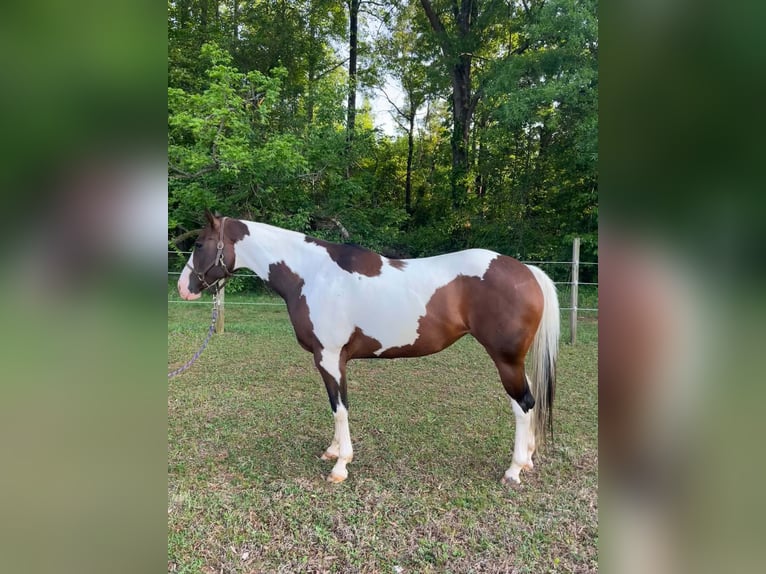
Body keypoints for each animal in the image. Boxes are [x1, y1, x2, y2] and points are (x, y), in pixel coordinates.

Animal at [177, 211, 560, 485]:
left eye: (199, 244)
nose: (184, 288)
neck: (311, 275)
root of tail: (527, 271)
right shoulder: (330, 360)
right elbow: (335, 406)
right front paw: (333, 452)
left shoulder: (330, 357)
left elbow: (340, 408)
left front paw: (341, 466)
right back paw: (527, 458)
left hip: (506, 360)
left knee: (523, 405)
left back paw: (514, 470)